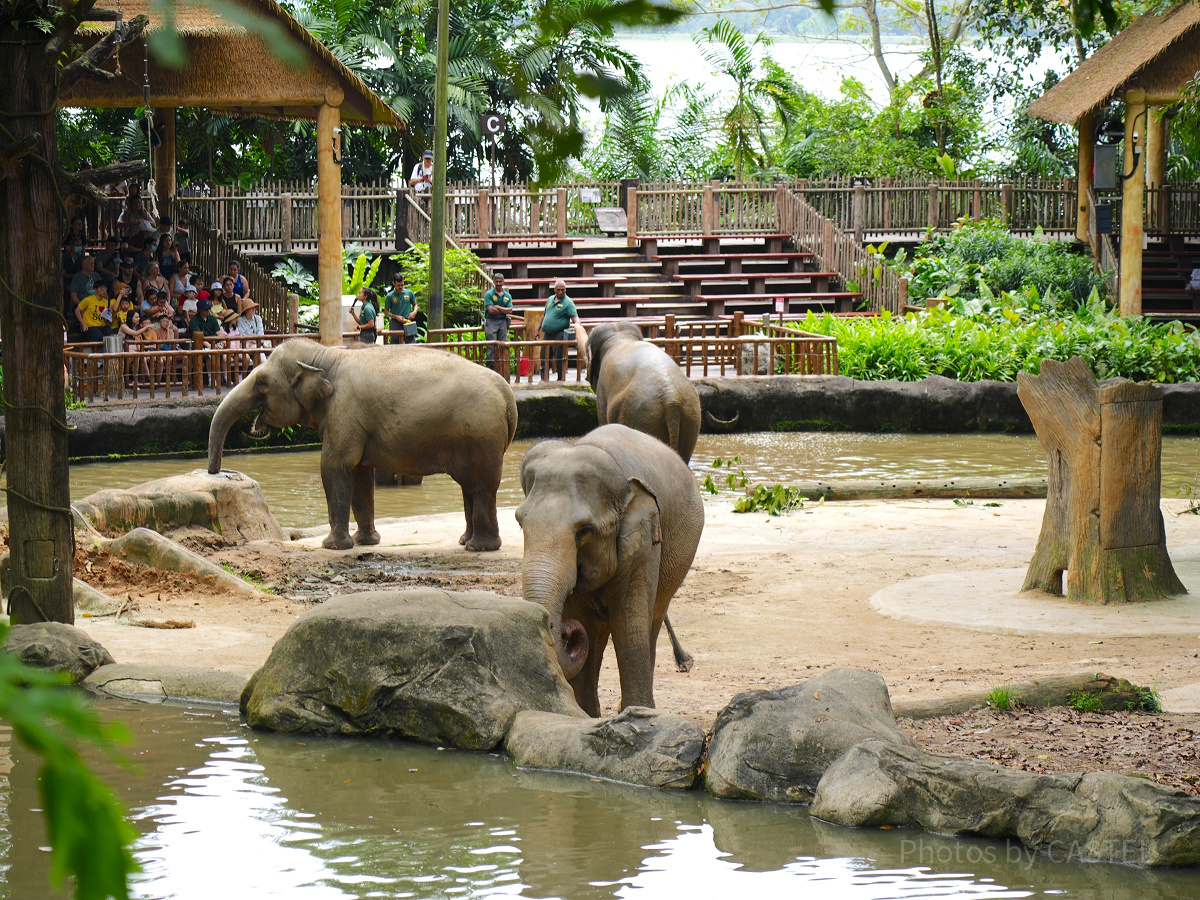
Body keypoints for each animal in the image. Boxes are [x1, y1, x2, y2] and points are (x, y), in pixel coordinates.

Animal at [208, 338, 518, 549]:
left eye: (261, 383)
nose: (214, 471)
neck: (326, 354)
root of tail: (508, 396)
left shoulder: (344, 411)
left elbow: (334, 466)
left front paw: (333, 546)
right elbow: (359, 473)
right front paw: (365, 541)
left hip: (480, 436)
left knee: (481, 485)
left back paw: (480, 547)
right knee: (471, 486)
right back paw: (465, 541)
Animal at [516, 424, 700, 720]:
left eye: (584, 531)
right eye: (520, 522)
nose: (565, 631)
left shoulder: (644, 540)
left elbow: (629, 622)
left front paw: (638, 713)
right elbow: (584, 624)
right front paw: (587, 719)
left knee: (651, 621)